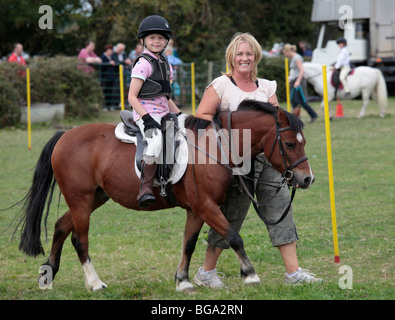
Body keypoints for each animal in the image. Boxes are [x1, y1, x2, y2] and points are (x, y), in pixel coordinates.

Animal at [16, 100, 316, 292]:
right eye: (290, 143)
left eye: (303, 141)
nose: (307, 179)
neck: (216, 146)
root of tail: (65, 135)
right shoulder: (206, 206)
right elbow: (234, 237)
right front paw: (250, 275)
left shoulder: (196, 209)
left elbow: (189, 244)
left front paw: (182, 281)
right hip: (81, 199)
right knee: (79, 239)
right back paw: (95, 283)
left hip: (93, 199)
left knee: (60, 227)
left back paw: (48, 275)